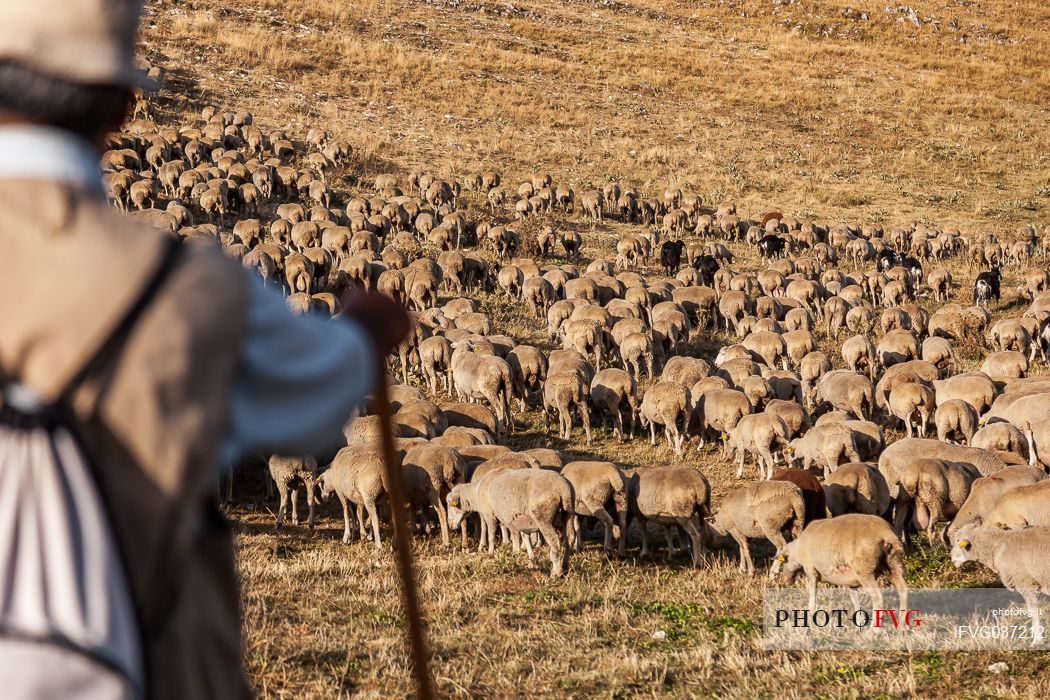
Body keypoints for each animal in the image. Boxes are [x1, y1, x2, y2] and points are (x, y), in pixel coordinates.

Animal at [768, 514, 907, 612]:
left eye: (784, 562)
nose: (785, 581)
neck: (798, 549)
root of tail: (886, 533)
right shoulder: (851, 581)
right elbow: (854, 599)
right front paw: (859, 620)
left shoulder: (811, 571)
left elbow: (812, 593)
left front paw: (811, 612)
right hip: (895, 562)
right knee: (903, 590)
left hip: (865, 570)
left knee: (877, 596)